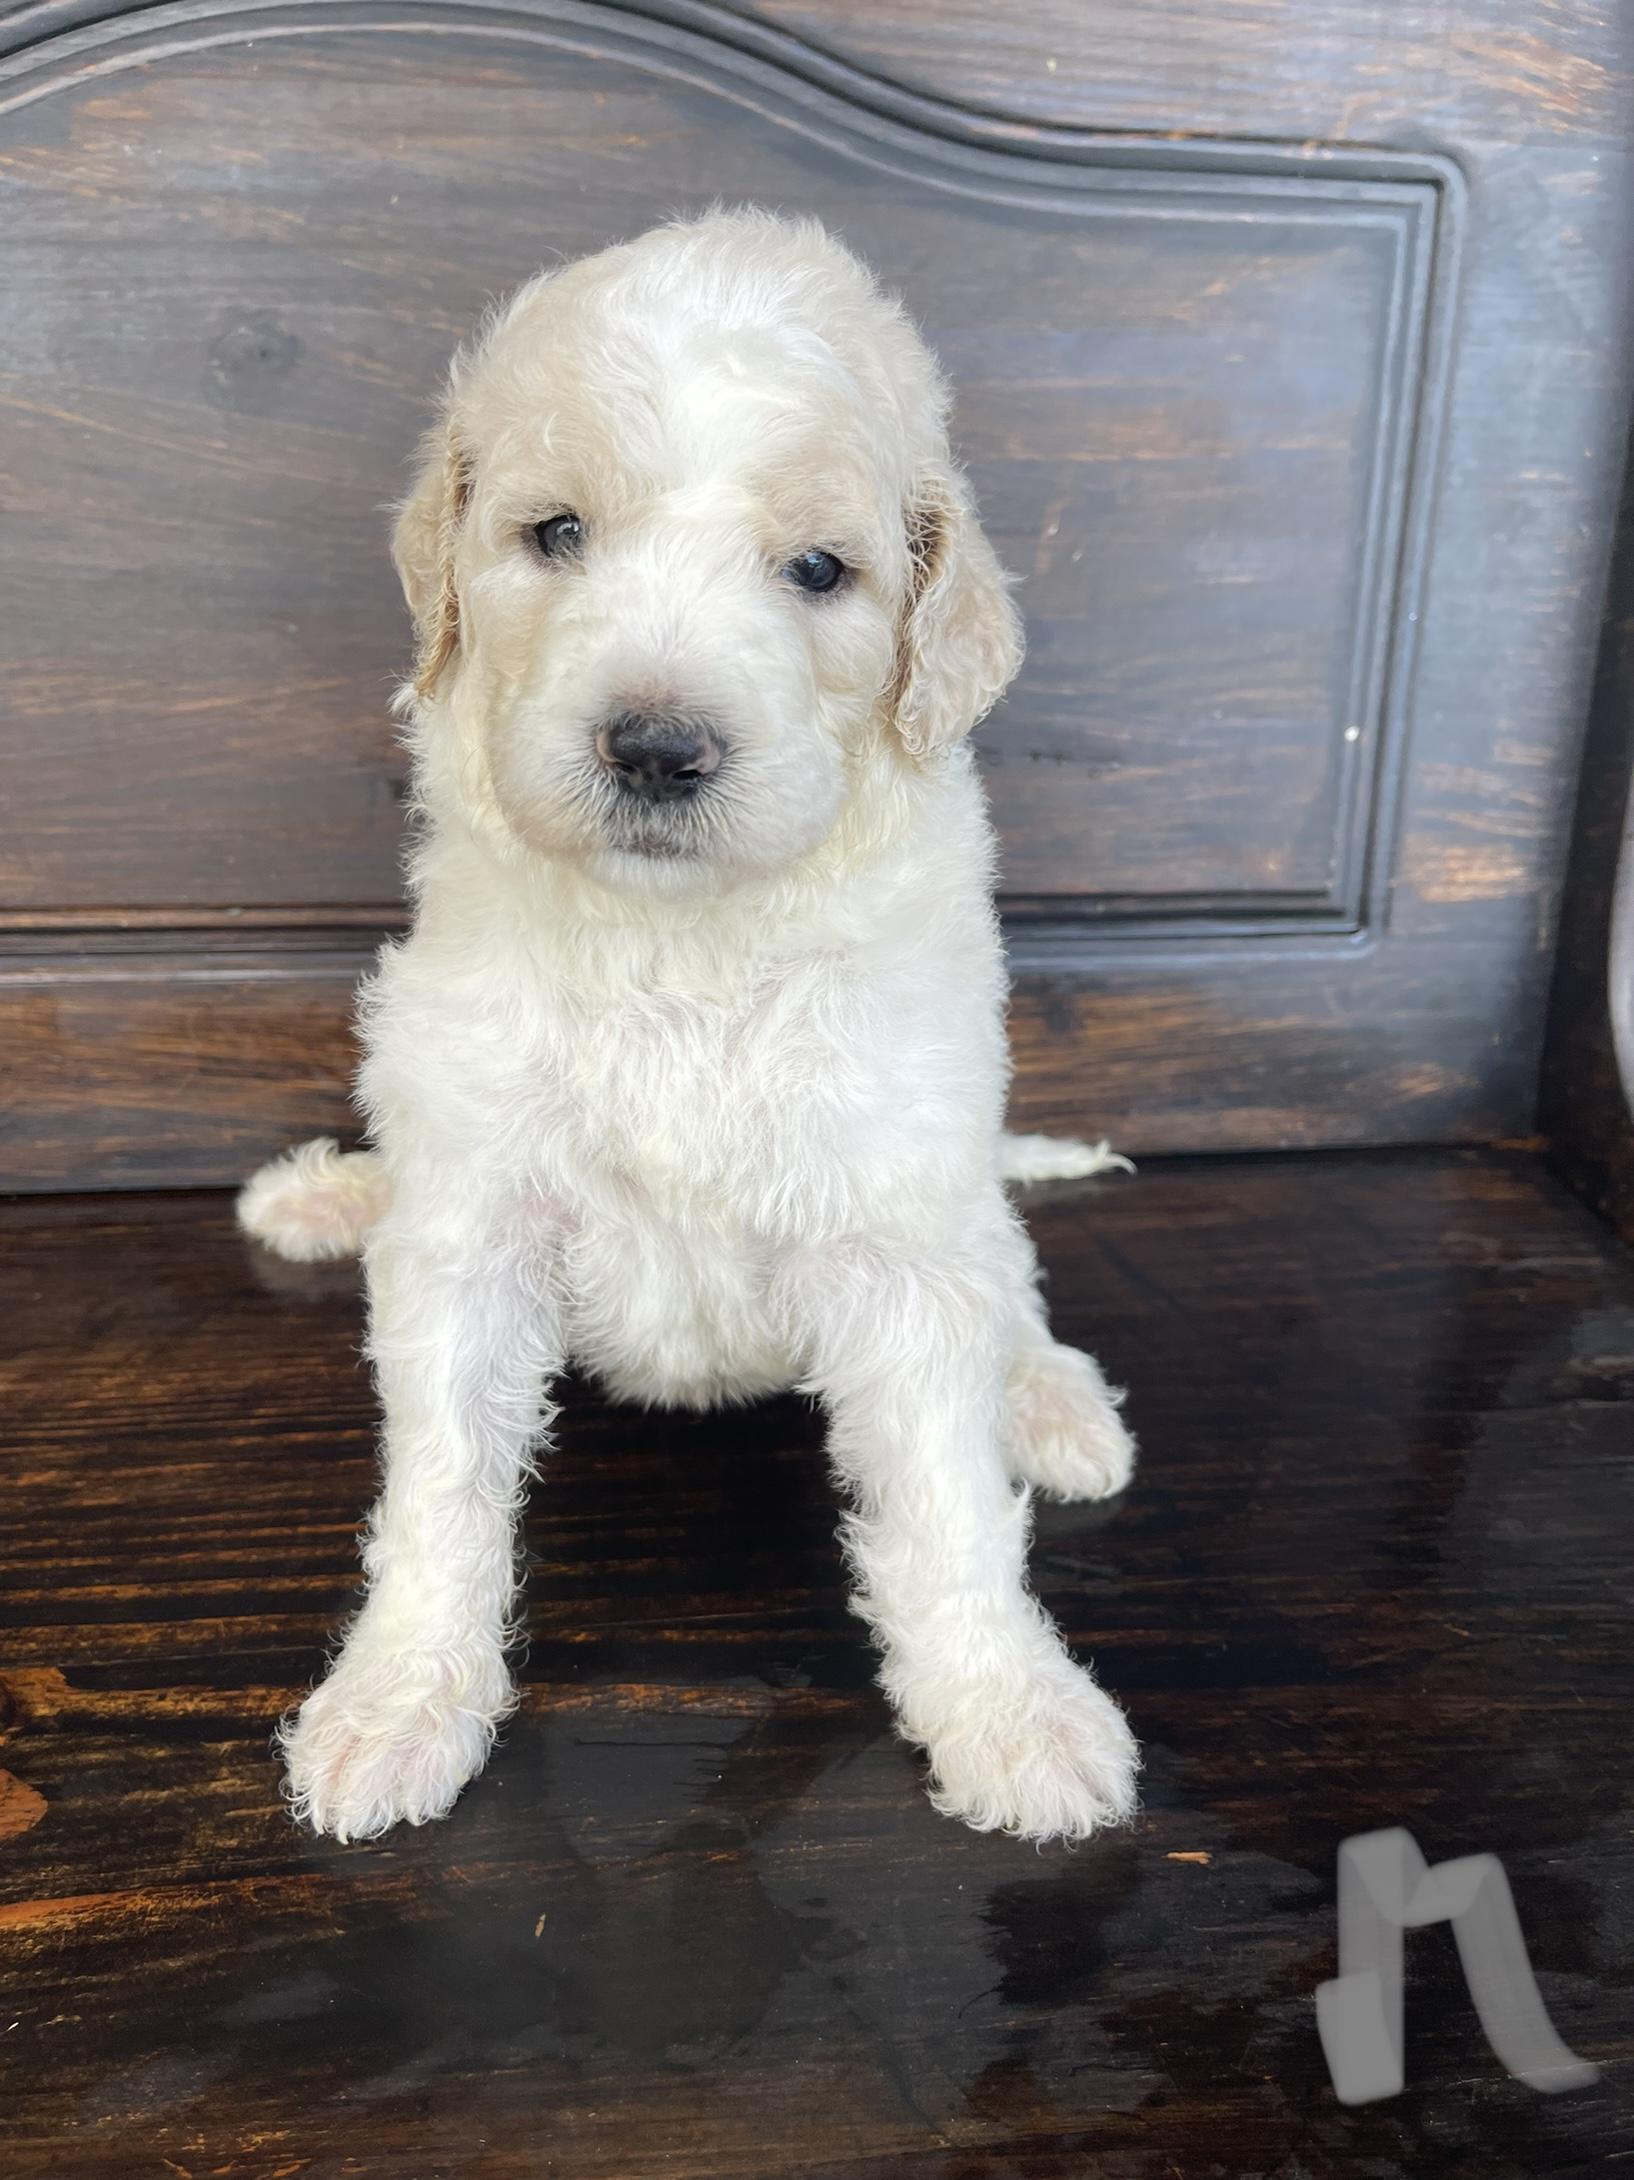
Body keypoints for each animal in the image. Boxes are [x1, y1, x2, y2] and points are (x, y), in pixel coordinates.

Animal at [239, 210, 1140, 1845]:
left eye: (818, 570)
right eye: (553, 536)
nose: (656, 747)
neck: (678, 940)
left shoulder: (891, 1208)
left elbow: (942, 1504)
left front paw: (1011, 1714)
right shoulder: (472, 1217)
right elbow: (442, 1492)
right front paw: (397, 1703)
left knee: (1007, 1274)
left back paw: (1047, 1401)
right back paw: (328, 1195)